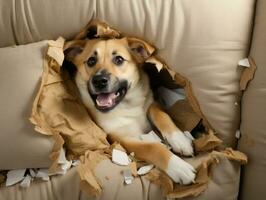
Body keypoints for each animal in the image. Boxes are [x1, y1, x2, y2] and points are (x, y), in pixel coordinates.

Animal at [63, 36, 196, 184]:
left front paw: (180, 140)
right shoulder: (122, 138)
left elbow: (162, 115)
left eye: (119, 59)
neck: (127, 105)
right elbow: (152, 147)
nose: (99, 81)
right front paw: (178, 167)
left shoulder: (151, 103)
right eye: (91, 61)